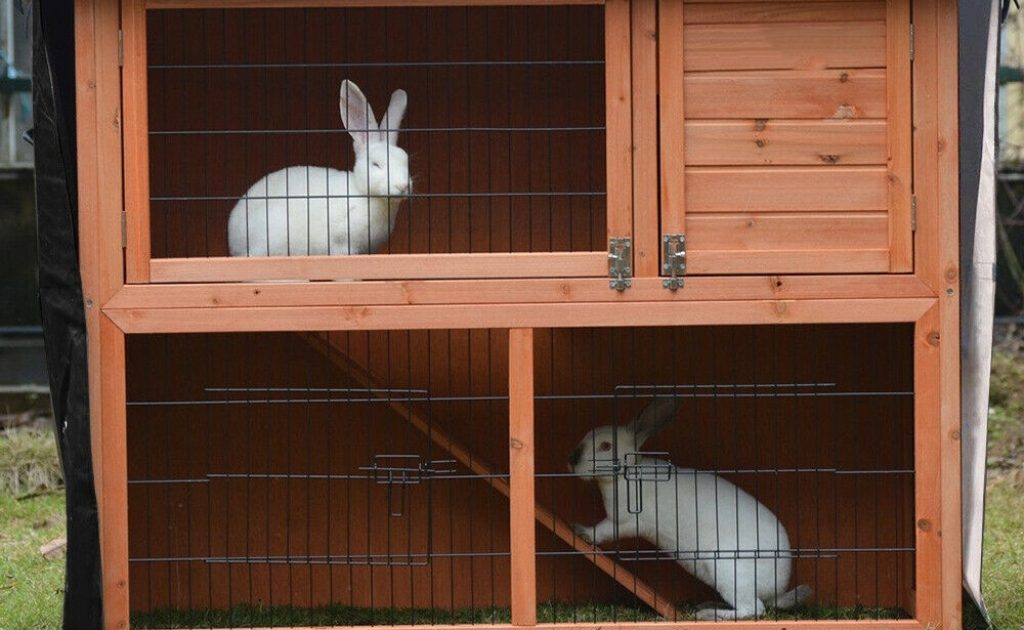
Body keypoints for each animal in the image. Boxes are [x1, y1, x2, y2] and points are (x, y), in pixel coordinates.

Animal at [567, 398, 812, 621]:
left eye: (606, 446)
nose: (572, 460)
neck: (626, 474)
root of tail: (777, 589)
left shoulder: (626, 522)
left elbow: (603, 531)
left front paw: (580, 531)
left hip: (728, 569)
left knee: (753, 609)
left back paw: (709, 614)